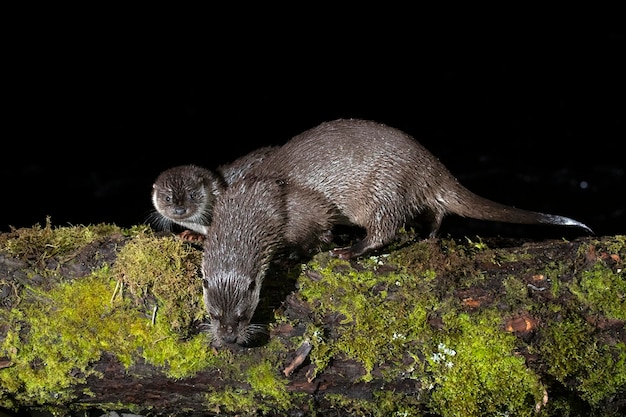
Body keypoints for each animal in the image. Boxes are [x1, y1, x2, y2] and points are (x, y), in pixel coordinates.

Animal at [249, 117, 588, 258]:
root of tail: (431, 166)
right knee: (434, 214)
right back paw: (426, 236)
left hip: (384, 186)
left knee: (385, 228)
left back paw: (351, 250)